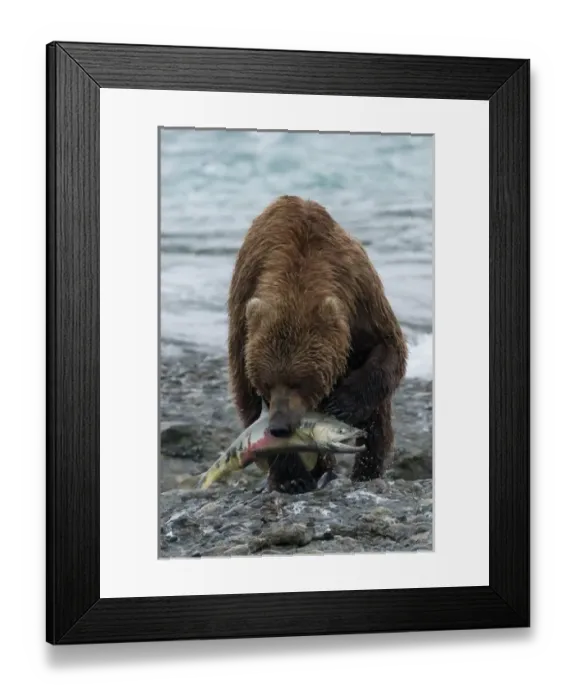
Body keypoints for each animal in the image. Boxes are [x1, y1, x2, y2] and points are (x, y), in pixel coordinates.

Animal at [227, 195, 408, 494]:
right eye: (266, 384)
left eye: (300, 381)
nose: (280, 427)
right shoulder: (243, 319)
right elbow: (247, 401)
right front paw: (292, 477)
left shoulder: (360, 298)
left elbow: (389, 349)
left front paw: (342, 403)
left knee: (378, 418)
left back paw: (366, 471)